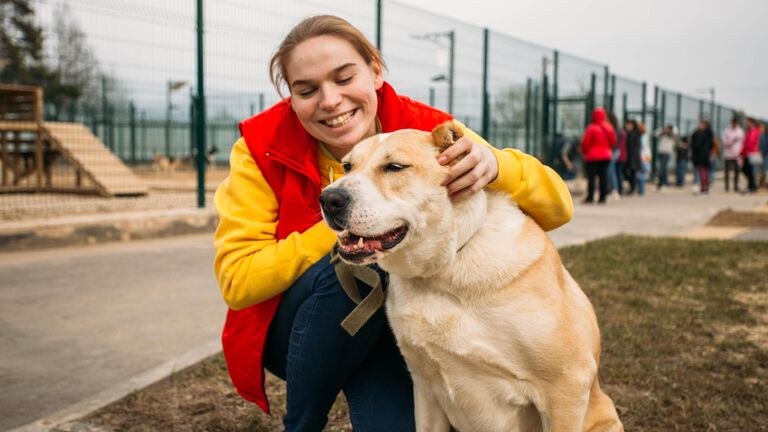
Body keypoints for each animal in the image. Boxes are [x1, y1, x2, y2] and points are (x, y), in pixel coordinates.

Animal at [318, 122, 624, 432]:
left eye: (395, 167)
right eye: (347, 166)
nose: (329, 199)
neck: (443, 269)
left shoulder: (566, 384)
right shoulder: (425, 387)